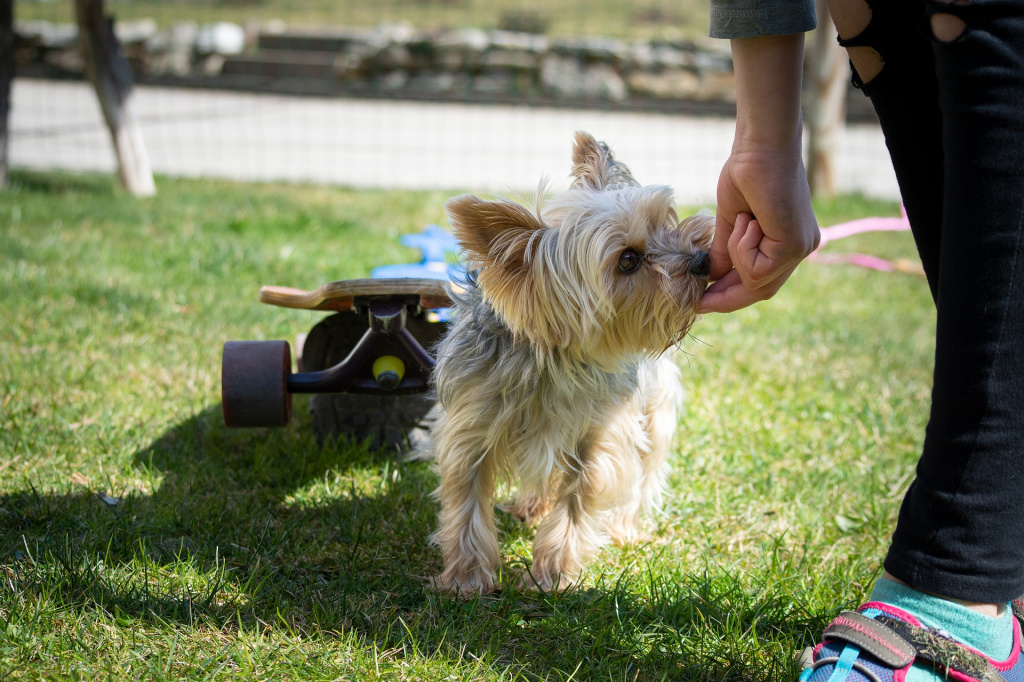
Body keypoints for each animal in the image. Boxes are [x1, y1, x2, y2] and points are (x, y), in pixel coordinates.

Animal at [430, 130, 712, 593]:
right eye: (628, 260)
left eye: (665, 222)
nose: (704, 260)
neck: (553, 360)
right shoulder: (471, 428)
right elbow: (467, 502)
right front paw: (465, 579)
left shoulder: (599, 436)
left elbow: (580, 497)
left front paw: (553, 573)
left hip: (656, 407)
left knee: (645, 468)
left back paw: (625, 528)